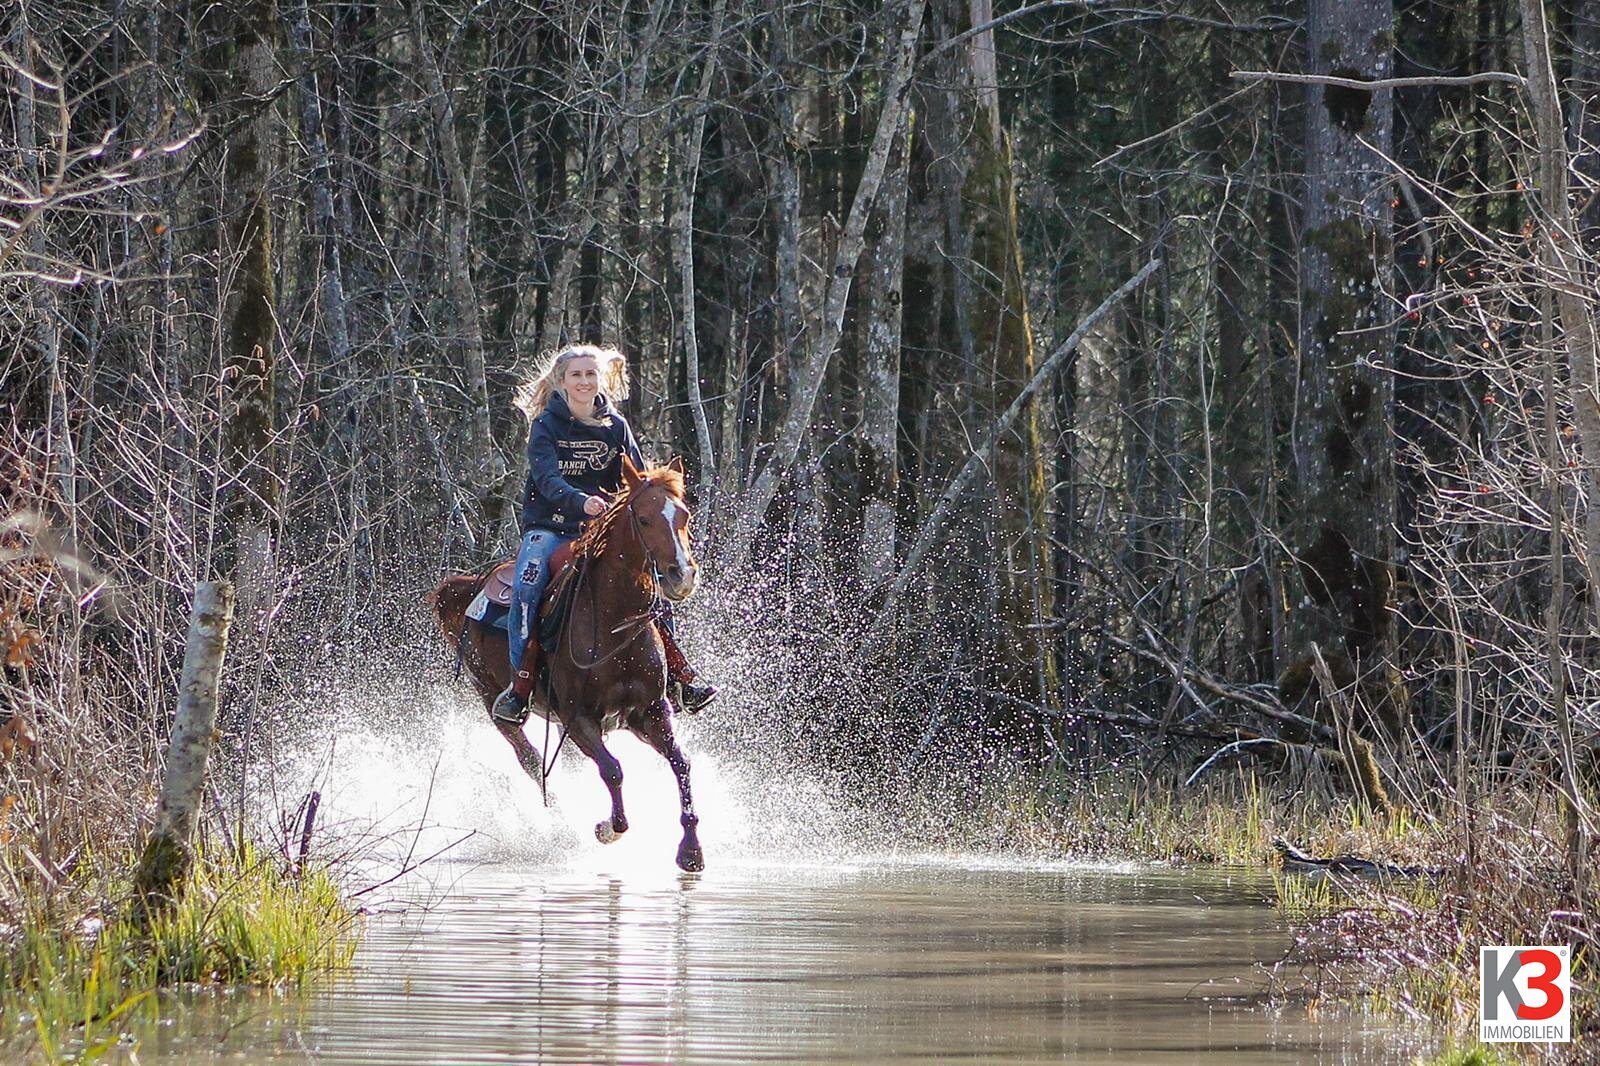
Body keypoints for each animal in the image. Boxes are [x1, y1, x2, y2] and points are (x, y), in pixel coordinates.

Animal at [428, 457, 704, 870]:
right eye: (643, 519)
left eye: (684, 515)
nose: (682, 575)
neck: (613, 622)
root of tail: (468, 588)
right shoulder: (578, 719)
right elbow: (613, 769)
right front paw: (608, 828)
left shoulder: (651, 713)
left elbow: (681, 765)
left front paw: (691, 849)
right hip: (492, 700)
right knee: (529, 759)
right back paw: (559, 824)